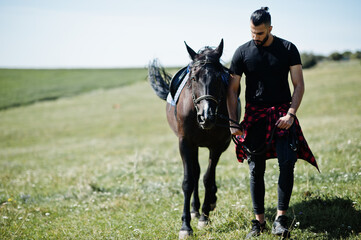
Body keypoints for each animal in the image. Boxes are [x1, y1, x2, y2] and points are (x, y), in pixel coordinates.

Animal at [148, 39, 231, 238]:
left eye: (219, 78)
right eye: (194, 78)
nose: (207, 116)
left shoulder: (218, 146)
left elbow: (208, 178)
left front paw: (204, 217)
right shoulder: (185, 143)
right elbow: (188, 181)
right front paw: (186, 225)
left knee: (206, 175)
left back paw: (209, 203)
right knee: (195, 172)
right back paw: (195, 209)